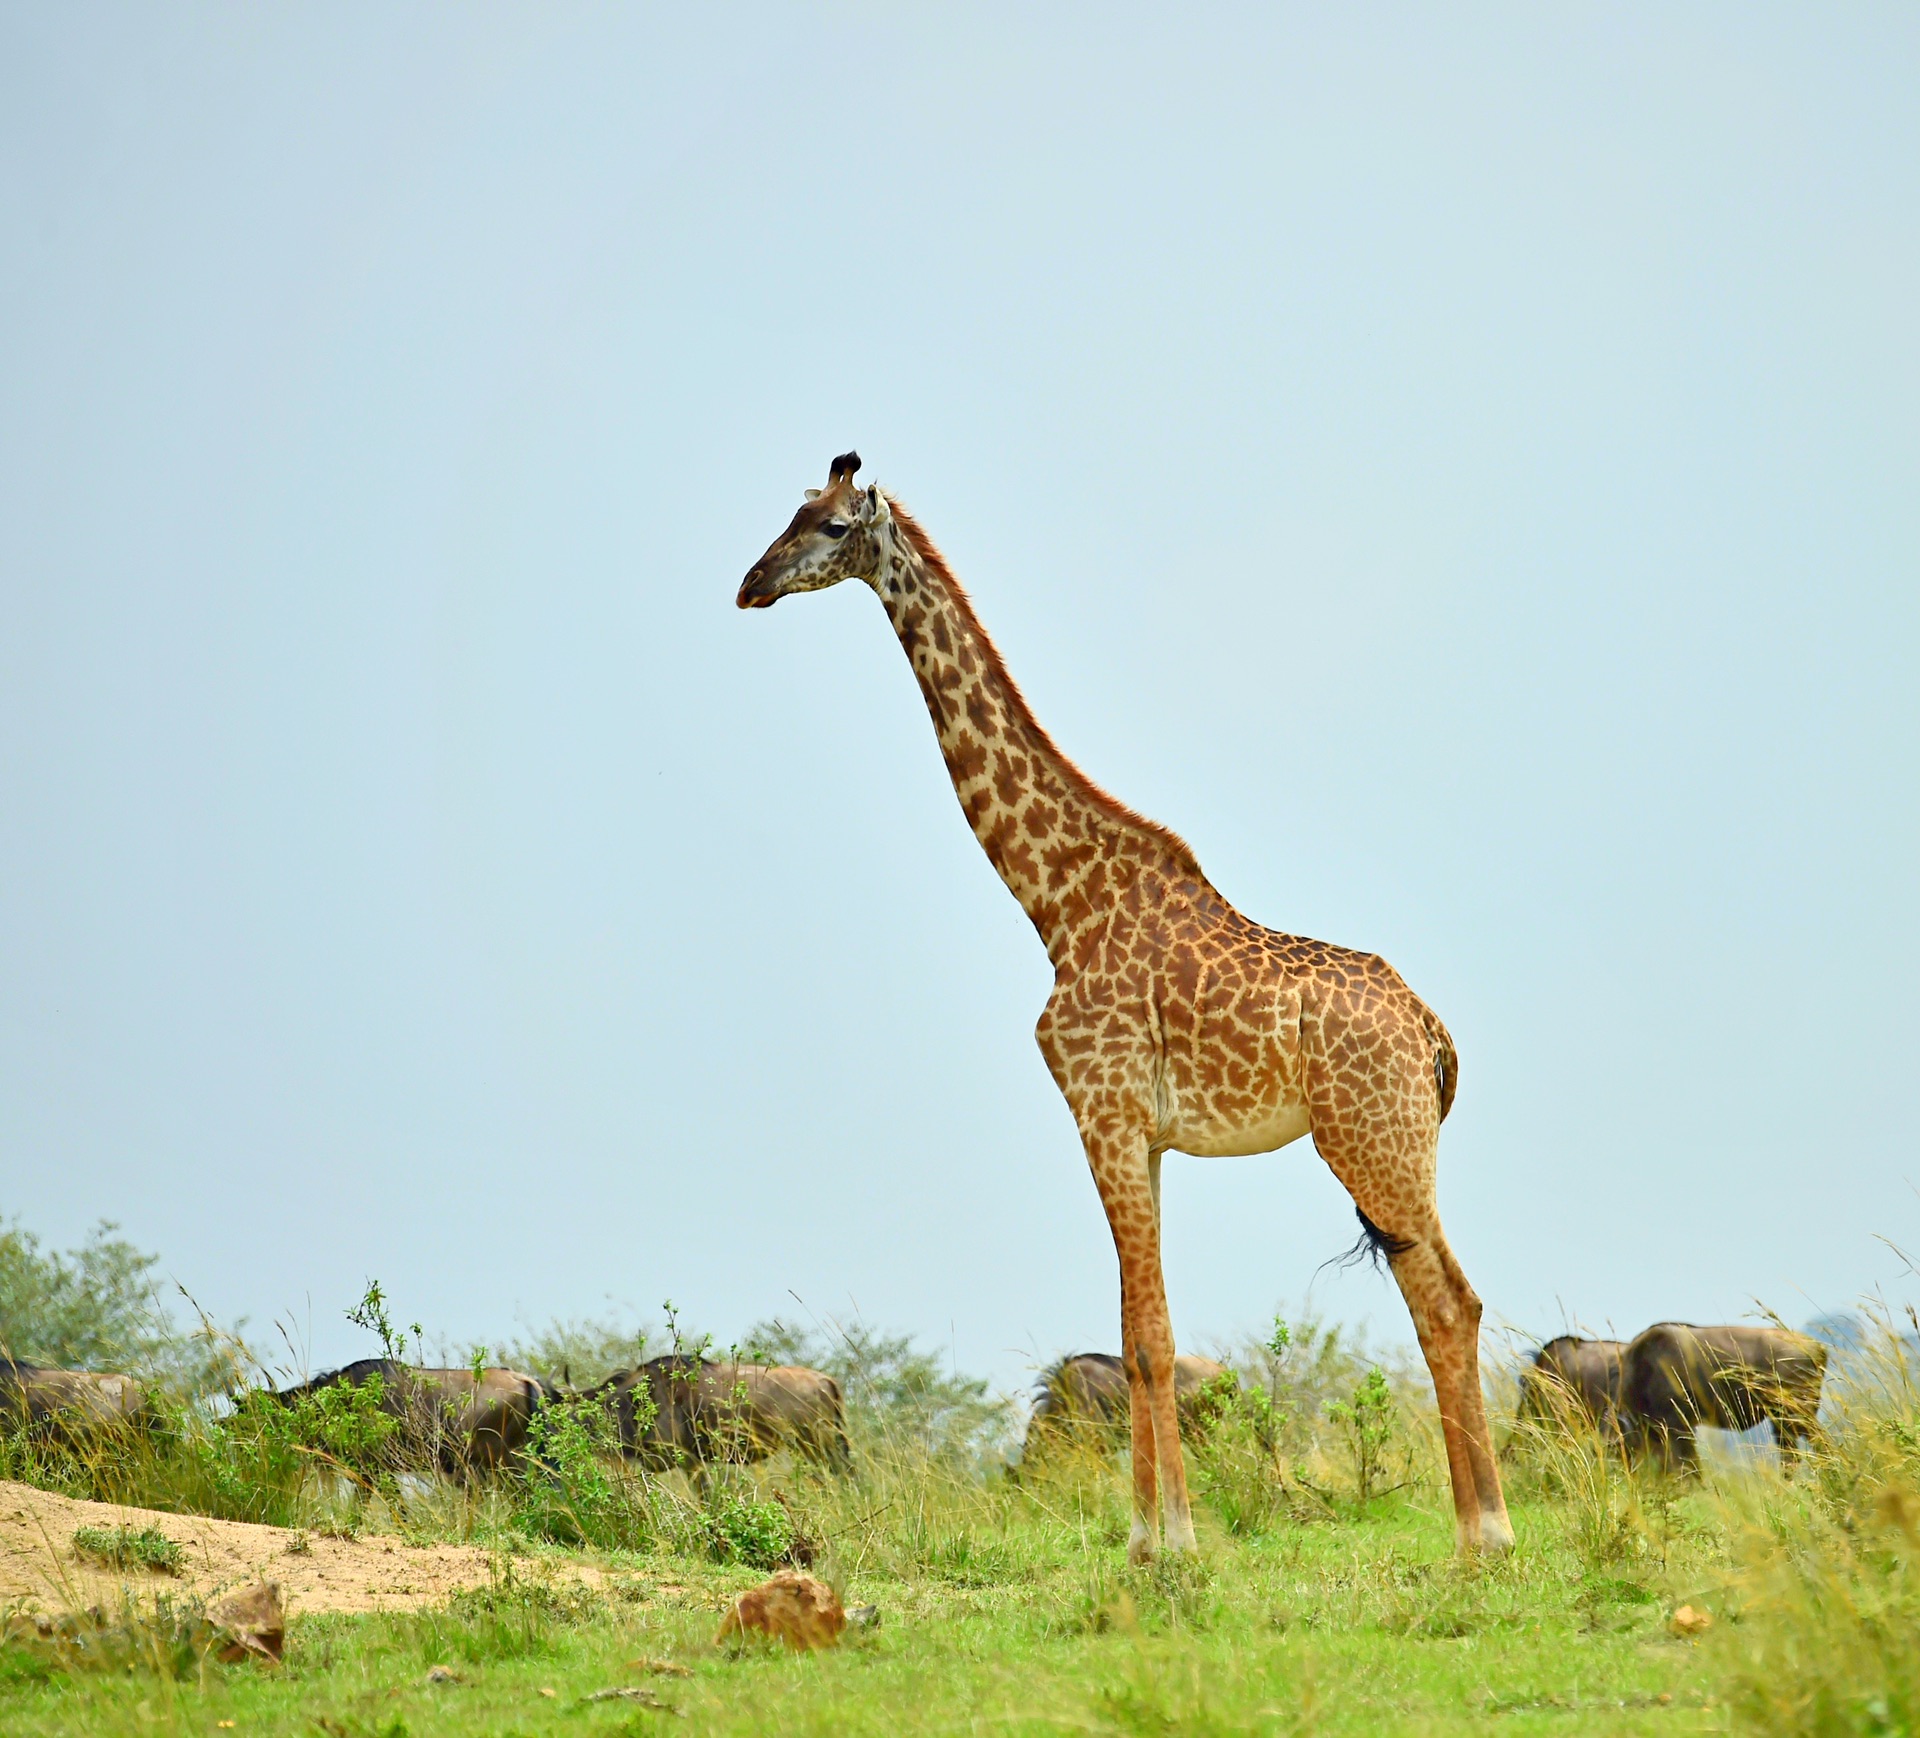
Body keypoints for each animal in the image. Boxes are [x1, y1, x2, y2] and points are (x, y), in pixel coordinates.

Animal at [733, 451, 1512, 1559]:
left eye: (834, 527)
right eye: (790, 513)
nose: (750, 582)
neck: (1057, 900)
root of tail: (1435, 1034)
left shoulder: (1103, 1110)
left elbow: (1150, 1337)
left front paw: (1170, 1544)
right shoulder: (1138, 1133)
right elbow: (1135, 1334)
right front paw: (1147, 1538)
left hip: (1372, 1137)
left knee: (1448, 1302)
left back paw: (1487, 1535)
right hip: (1392, 1142)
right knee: (1447, 1298)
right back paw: (1473, 1529)